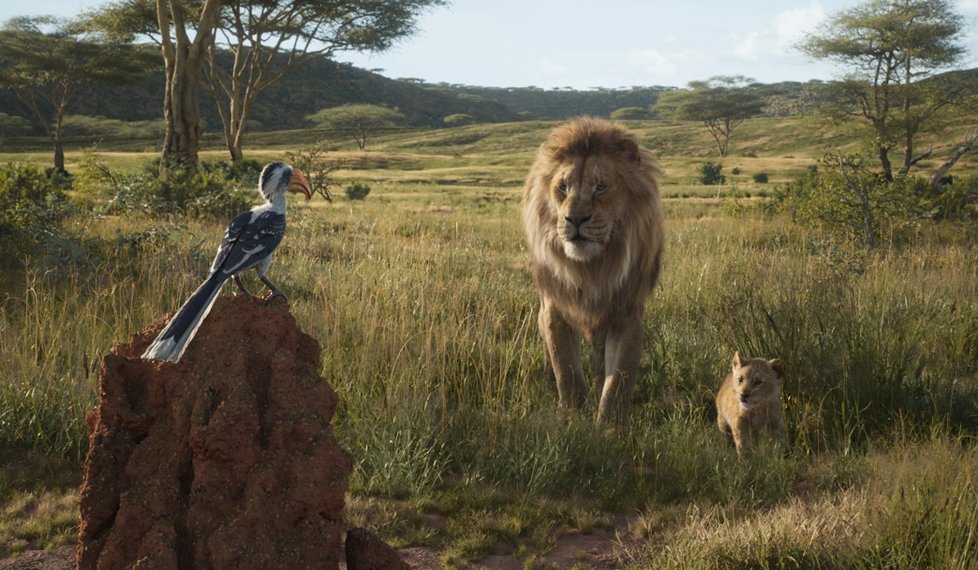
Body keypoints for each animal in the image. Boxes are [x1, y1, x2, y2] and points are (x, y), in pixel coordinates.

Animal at [520, 116, 664, 422]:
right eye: (562, 187)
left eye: (600, 187)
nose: (574, 219)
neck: (593, 268)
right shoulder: (555, 308)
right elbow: (567, 371)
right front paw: (573, 419)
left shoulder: (627, 314)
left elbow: (618, 381)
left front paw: (610, 427)